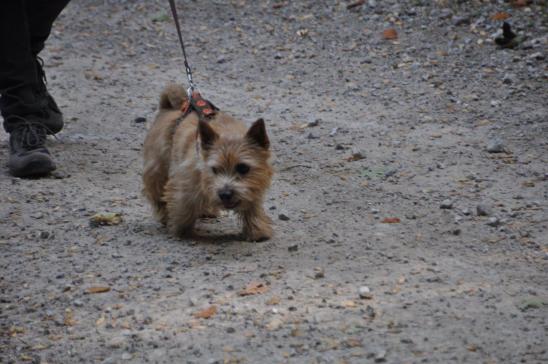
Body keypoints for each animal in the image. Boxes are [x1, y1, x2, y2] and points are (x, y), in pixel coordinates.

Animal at [142, 84, 272, 240]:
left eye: (243, 168)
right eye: (214, 169)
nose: (225, 194)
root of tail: (168, 109)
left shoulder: (253, 186)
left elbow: (253, 208)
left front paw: (257, 230)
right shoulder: (183, 184)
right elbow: (183, 206)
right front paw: (182, 230)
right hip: (157, 170)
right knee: (158, 195)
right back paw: (165, 217)